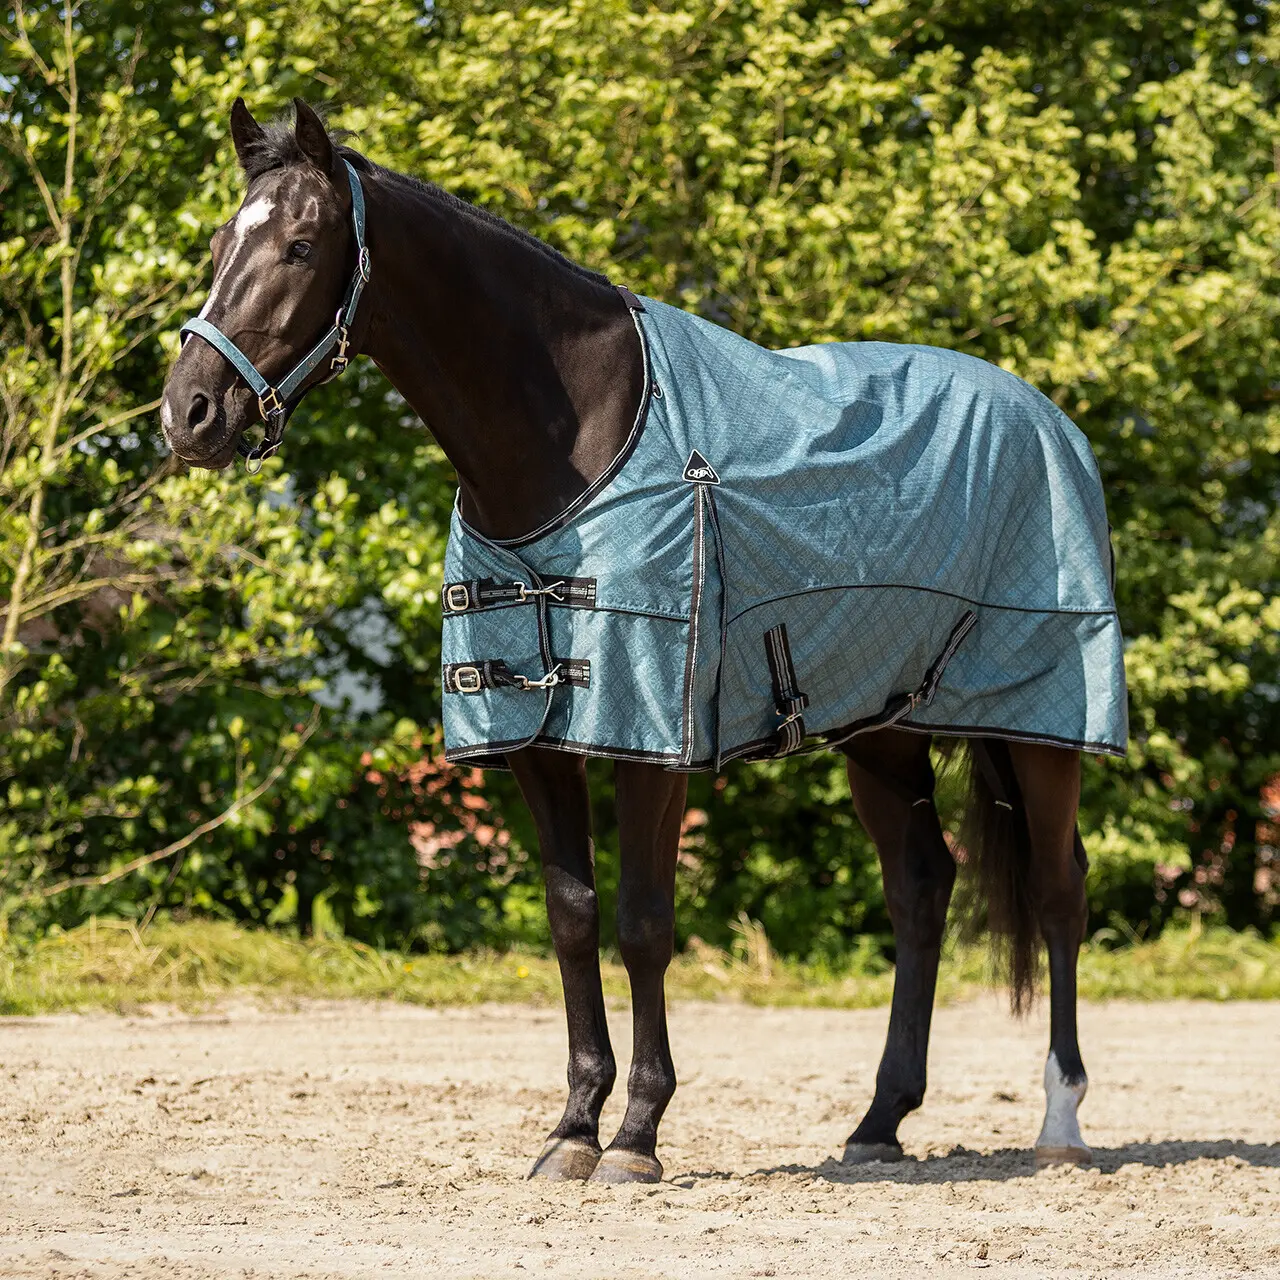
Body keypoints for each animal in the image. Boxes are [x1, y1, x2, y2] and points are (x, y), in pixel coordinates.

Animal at [160, 98, 1127, 1185]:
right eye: (218, 245)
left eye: (300, 244)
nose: (188, 413)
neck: (578, 440)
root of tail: (1047, 417)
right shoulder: (536, 737)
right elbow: (573, 918)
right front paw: (572, 1127)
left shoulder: (651, 731)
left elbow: (643, 926)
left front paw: (635, 1135)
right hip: (880, 728)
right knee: (920, 890)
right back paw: (878, 1122)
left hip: (1043, 720)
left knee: (1058, 890)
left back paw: (1059, 1122)